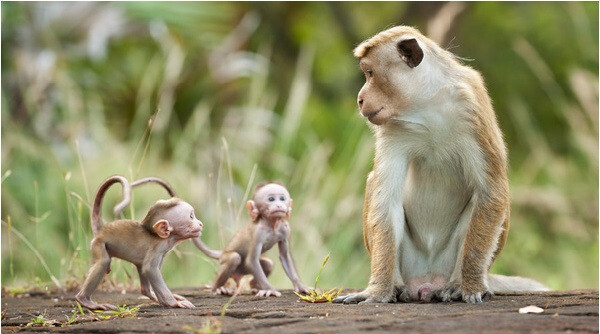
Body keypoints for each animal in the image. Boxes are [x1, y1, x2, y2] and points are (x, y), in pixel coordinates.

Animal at [76, 176, 204, 310]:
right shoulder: (158, 248)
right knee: (103, 262)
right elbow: (150, 269)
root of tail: (101, 230)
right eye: (191, 217)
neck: (165, 237)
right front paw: (173, 303)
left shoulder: (163, 252)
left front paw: (165, 300)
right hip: (98, 244)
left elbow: (148, 269)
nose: (200, 224)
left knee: (140, 270)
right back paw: (85, 300)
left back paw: (150, 294)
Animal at [332, 24, 548, 304]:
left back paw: (457, 283)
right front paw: (378, 291)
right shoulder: (392, 129)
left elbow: (491, 191)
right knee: (375, 185)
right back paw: (397, 286)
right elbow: (386, 200)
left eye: (370, 73)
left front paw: (470, 286)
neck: (426, 105)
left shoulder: (472, 107)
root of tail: (426, 281)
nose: (360, 98)